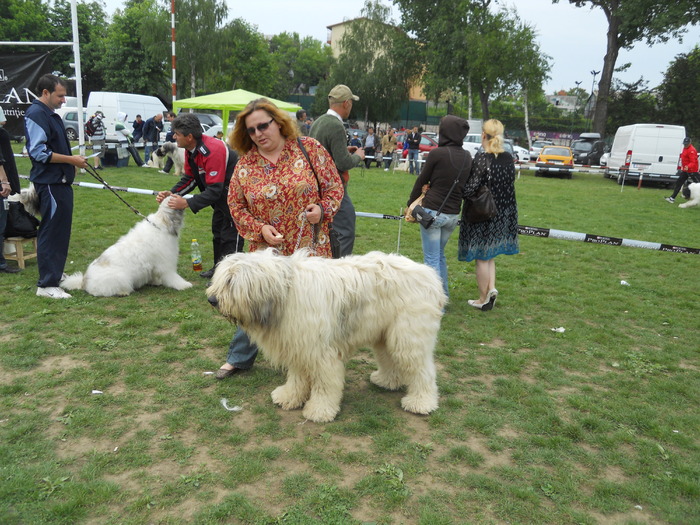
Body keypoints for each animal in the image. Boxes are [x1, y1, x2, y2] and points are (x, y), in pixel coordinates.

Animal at [59, 195, 191, 296]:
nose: (185, 199)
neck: (162, 222)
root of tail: (84, 282)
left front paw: (156, 282)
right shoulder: (165, 263)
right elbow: (172, 276)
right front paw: (184, 285)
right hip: (120, 278)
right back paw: (123, 292)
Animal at [205, 248, 446, 424]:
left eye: (231, 281)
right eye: (222, 278)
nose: (212, 300)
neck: (284, 293)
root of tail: (431, 276)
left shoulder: (320, 352)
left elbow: (325, 384)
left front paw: (319, 410)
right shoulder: (298, 346)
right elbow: (297, 378)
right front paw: (289, 397)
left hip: (409, 335)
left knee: (422, 370)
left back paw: (421, 403)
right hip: (384, 334)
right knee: (389, 359)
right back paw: (387, 381)